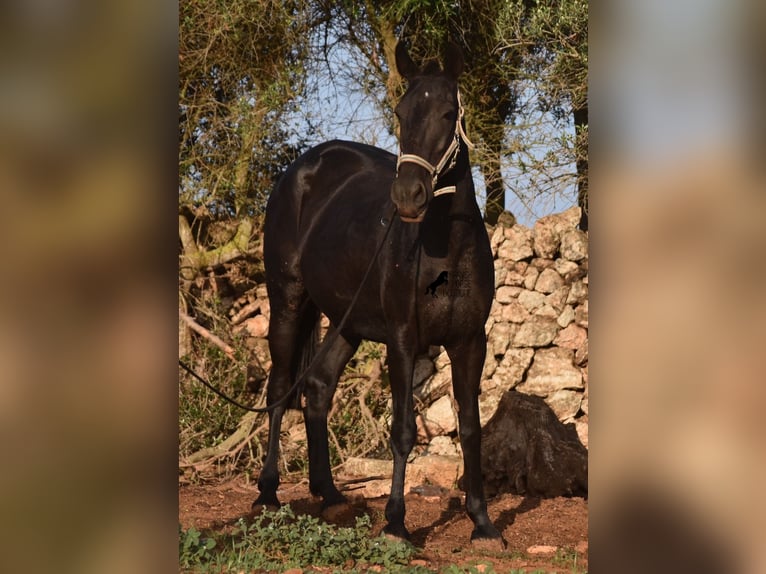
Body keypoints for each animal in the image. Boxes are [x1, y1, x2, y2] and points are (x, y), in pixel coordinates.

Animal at [254, 42, 504, 548]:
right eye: (401, 111)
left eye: (449, 113)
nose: (408, 195)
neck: (444, 250)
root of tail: (302, 169)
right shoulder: (403, 340)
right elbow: (403, 430)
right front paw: (395, 523)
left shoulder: (470, 342)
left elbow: (470, 429)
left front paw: (483, 524)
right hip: (288, 302)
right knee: (279, 389)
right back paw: (268, 493)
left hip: (347, 322)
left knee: (317, 386)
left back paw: (331, 496)